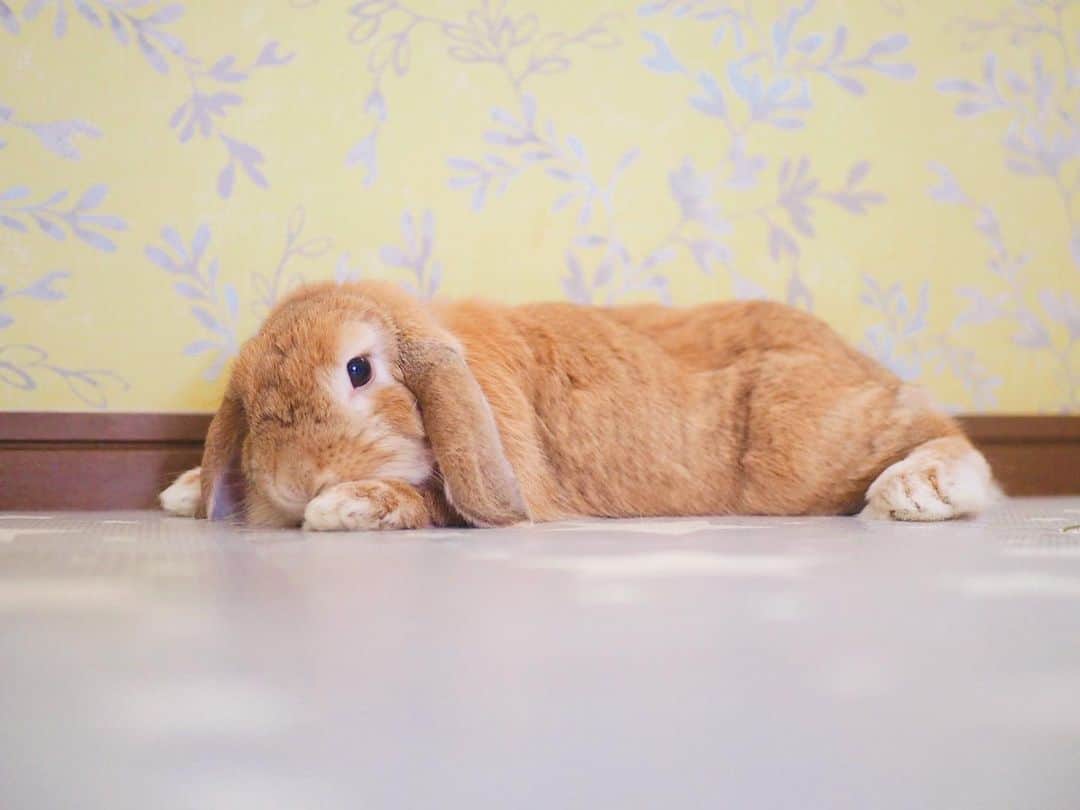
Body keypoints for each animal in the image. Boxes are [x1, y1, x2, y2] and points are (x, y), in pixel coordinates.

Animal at [159, 280, 999, 530]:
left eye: (359, 369)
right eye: (252, 400)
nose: (294, 482)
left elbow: (430, 502)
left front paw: (346, 506)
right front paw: (188, 489)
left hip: (801, 448)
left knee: (934, 428)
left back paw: (918, 490)